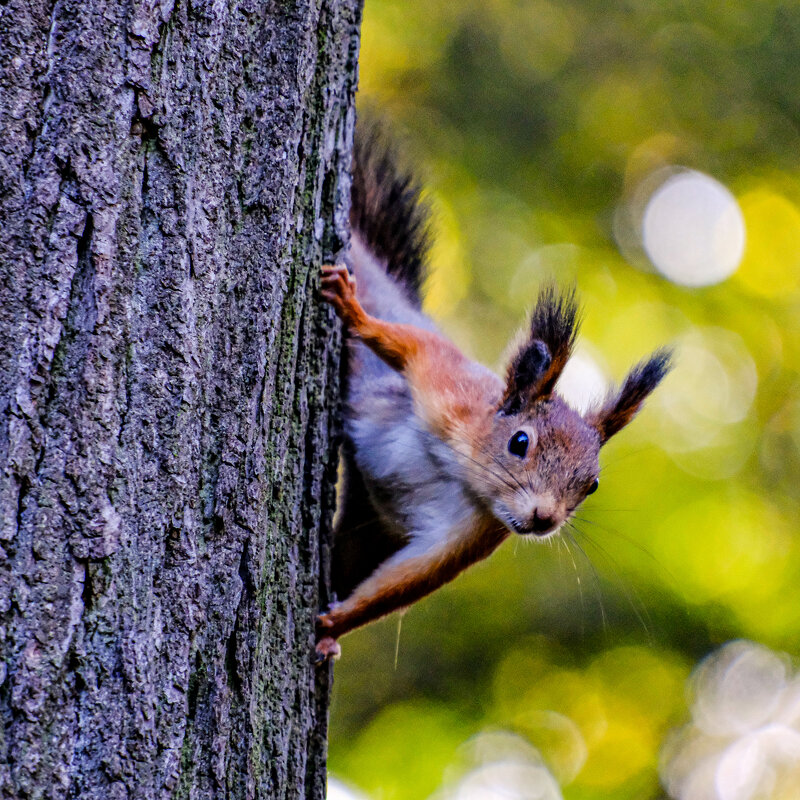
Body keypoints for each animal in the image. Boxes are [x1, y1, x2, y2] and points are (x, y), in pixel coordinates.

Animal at [312, 126, 668, 664]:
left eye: (591, 486)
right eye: (519, 443)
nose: (544, 519)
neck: (461, 473)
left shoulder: (471, 533)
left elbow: (404, 583)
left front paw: (333, 625)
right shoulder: (446, 388)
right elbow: (413, 346)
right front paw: (355, 314)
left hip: (369, 530)